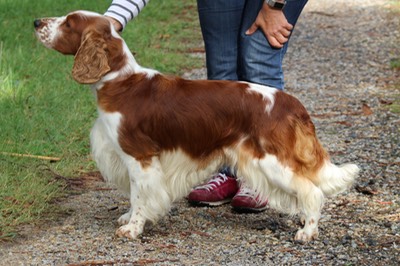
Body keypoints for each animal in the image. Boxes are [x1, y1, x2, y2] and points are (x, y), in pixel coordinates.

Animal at [33, 11, 360, 242]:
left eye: (69, 23)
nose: (36, 21)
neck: (120, 81)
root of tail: (291, 103)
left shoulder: (140, 157)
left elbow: (140, 194)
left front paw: (133, 228)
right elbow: (134, 196)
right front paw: (128, 218)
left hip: (270, 161)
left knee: (312, 191)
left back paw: (308, 231)